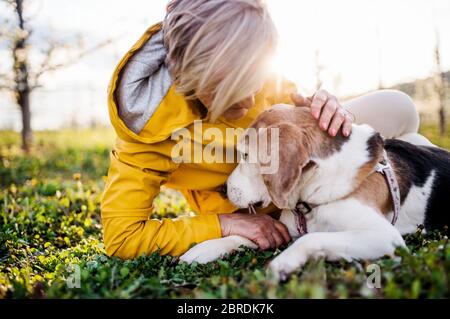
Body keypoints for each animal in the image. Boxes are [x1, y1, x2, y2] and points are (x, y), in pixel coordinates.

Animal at [180, 105, 450, 280]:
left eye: (246, 155)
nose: (223, 189)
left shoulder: (384, 236)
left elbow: (312, 238)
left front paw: (284, 262)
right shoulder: (286, 228)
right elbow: (241, 236)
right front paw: (202, 249)